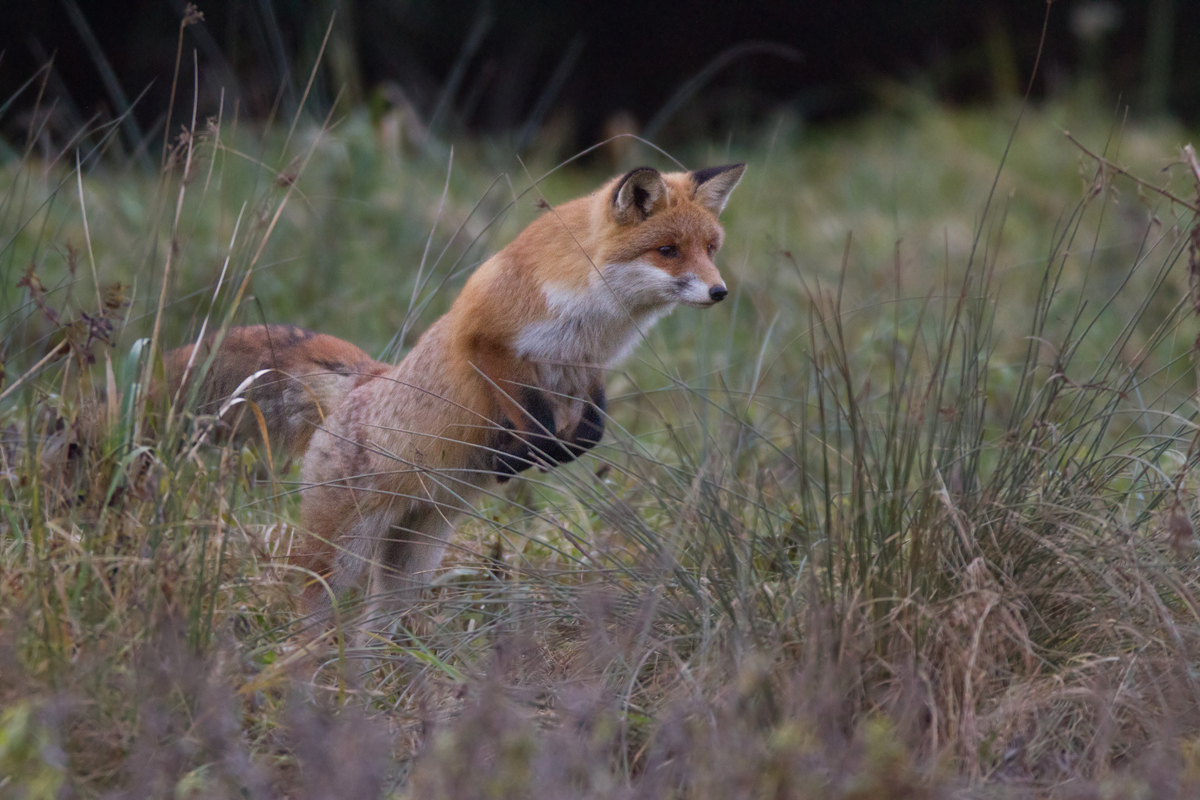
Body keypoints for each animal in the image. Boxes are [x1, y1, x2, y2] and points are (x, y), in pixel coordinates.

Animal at [162, 163, 739, 623]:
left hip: (413, 559)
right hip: (341, 554)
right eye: (668, 251)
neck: (594, 319)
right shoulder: (483, 340)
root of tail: (363, 380)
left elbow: (589, 434)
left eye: (711, 249)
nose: (720, 292)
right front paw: (518, 455)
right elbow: (532, 420)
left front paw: (539, 453)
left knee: (376, 625)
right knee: (309, 615)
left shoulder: (587, 368)